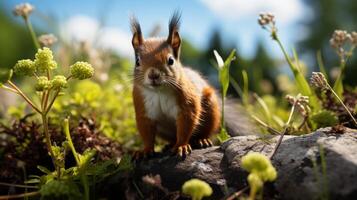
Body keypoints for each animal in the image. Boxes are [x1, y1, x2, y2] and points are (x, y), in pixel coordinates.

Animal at [130, 12, 220, 158]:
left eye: (171, 60)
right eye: (137, 61)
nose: (153, 75)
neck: (159, 92)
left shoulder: (187, 103)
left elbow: (185, 126)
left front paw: (181, 146)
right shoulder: (143, 108)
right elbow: (146, 132)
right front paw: (145, 150)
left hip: (211, 108)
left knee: (205, 131)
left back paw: (201, 140)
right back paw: (170, 144)